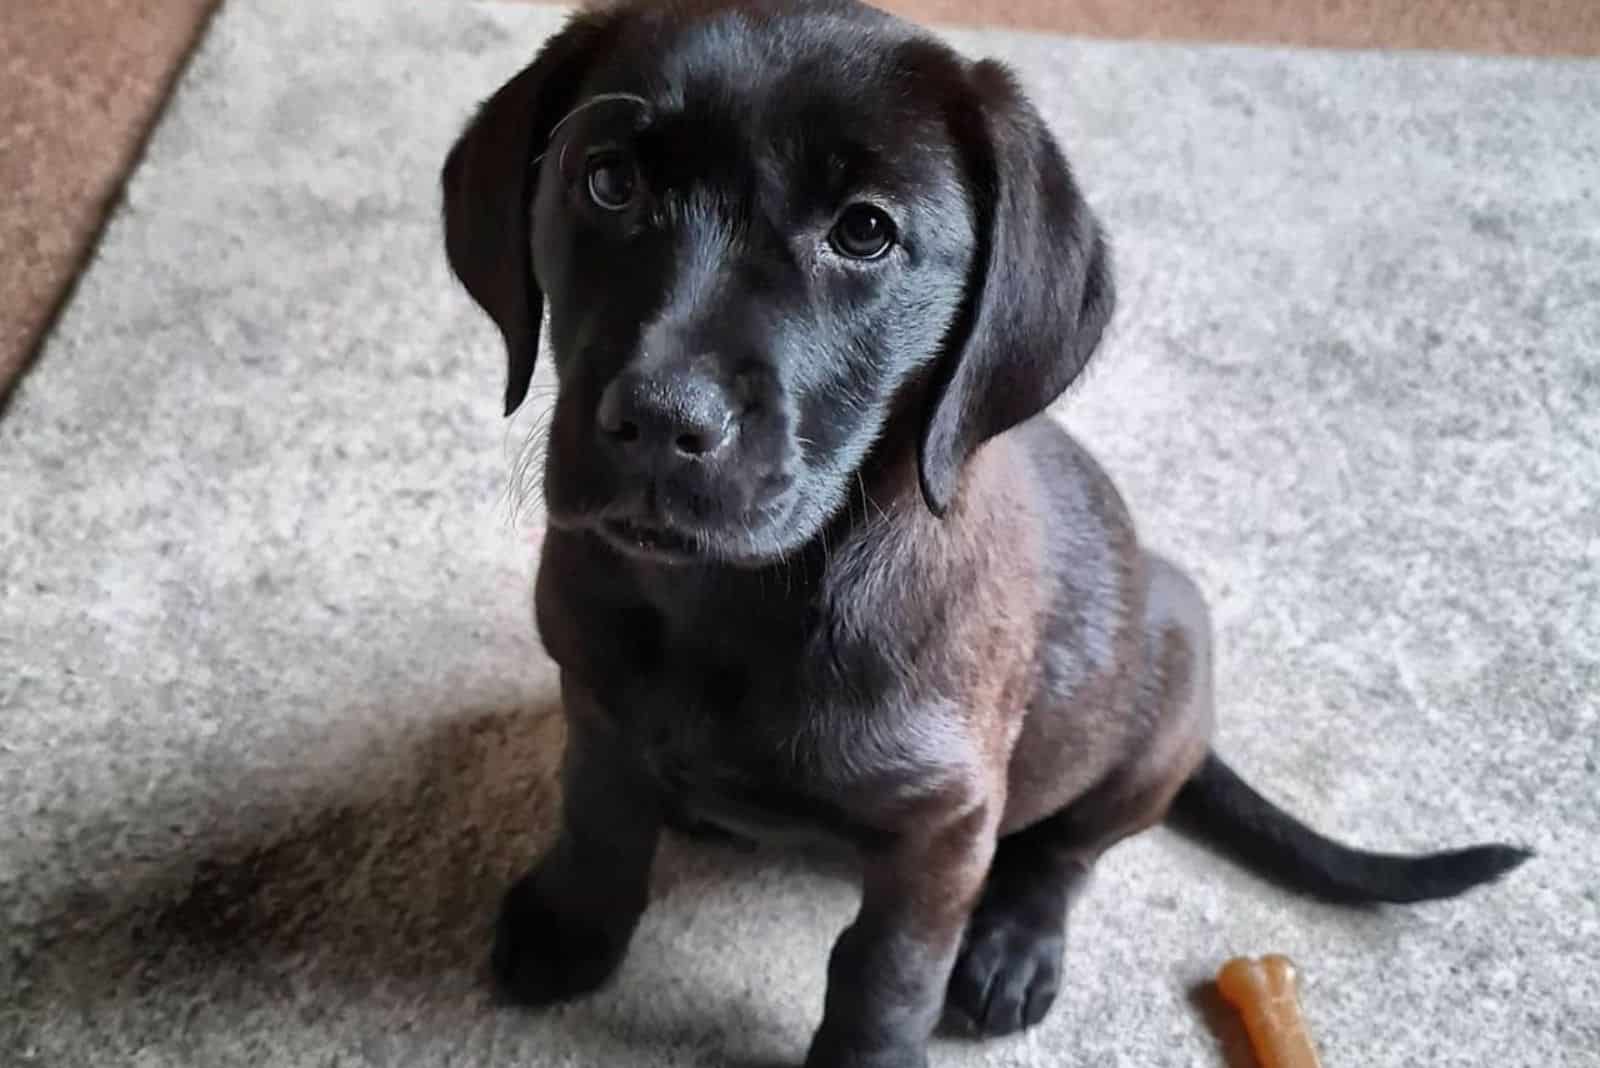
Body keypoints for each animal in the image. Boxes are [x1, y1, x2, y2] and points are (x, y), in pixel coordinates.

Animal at [435, 4, 1523, 1061]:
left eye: (864, 232)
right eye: (608, 181)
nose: (663, 420)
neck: (733, 600)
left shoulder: (945, 823)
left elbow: (885, 973)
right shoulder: (593, 696)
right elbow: (599, 819)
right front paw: (571, 926)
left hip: (1161, 698)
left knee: (1066, 852)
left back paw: (1013, 947)